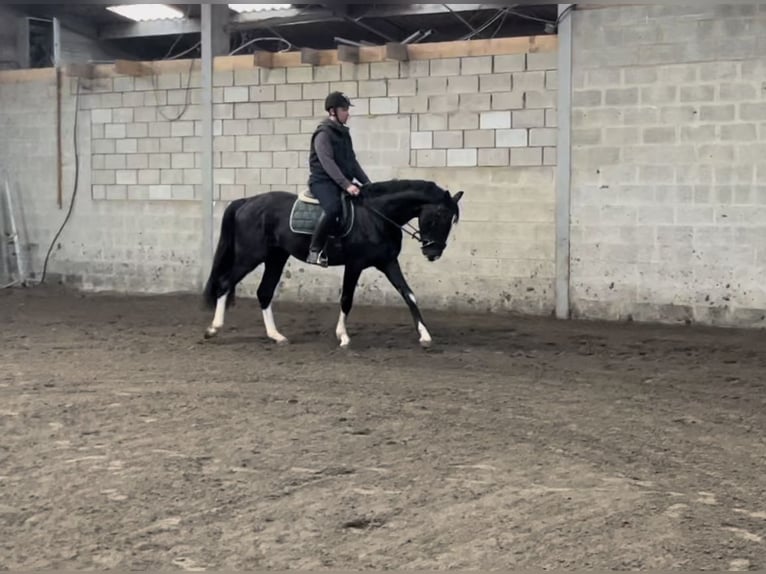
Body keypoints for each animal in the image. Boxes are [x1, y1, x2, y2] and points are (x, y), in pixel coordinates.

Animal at [202, 180, 462, 348]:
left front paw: (425, 336)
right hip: (250, 256)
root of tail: (246, 201)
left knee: (264, 292)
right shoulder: (355, 264)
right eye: (439, 215)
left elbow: (409, 295)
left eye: (451, 220)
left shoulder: (388, 262)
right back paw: (213, 328)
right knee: (225, 283)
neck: (376, 216)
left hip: (275, 257)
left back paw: (276, 336)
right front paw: (343, 337)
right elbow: (347, 299)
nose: (433, 253)